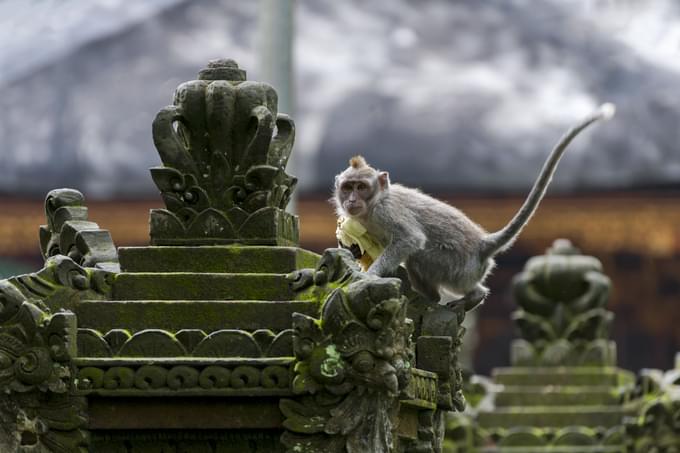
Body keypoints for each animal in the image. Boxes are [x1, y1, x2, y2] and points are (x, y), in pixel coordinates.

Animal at [334, 103, 616, 310]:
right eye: (348, 187)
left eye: (361, 187)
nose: (351, 200)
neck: (373, 205)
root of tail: (482, 245)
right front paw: (355, 251)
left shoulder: (387, 212)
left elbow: (410, 240)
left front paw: (369, 276)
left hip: (455, 265)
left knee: (419, 257)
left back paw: (466, 296)